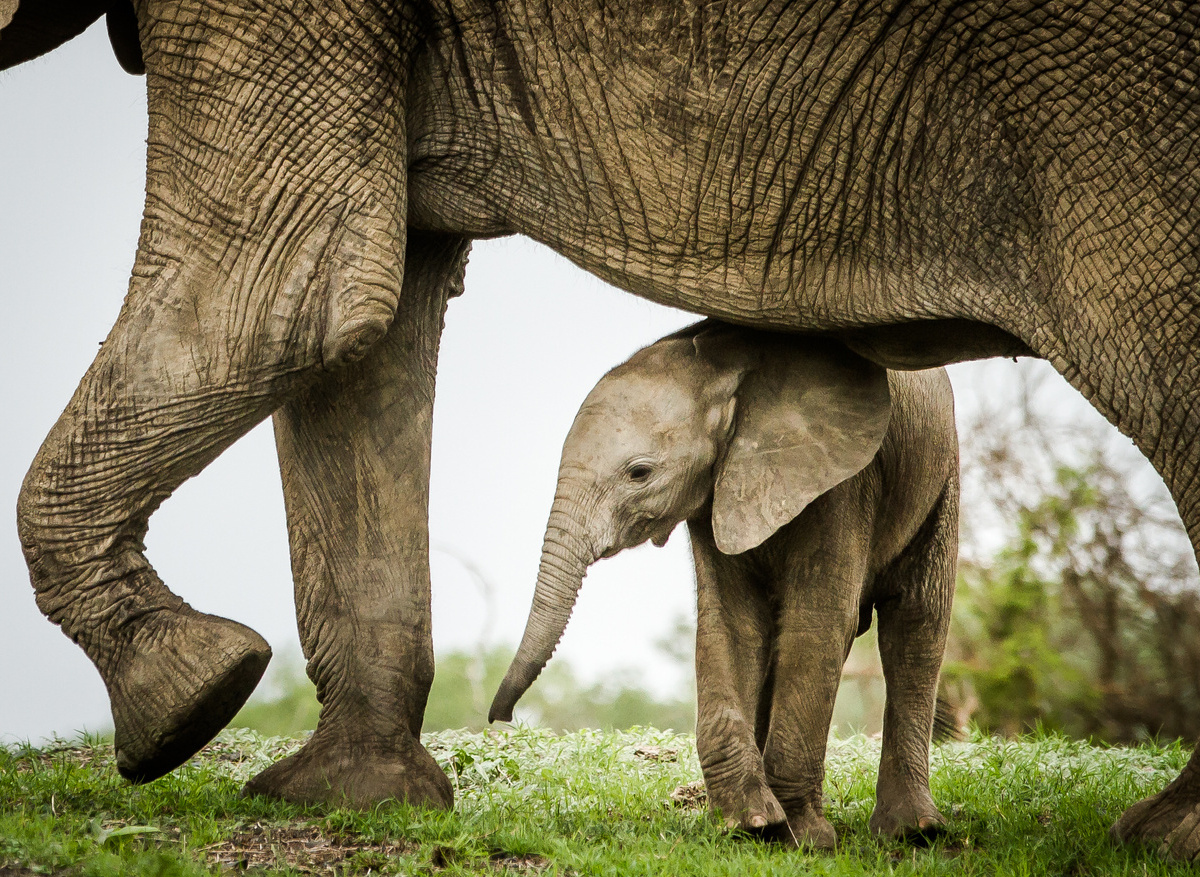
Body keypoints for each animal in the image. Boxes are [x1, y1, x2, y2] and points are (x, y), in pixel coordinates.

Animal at [489, 322, 958, 848]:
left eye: (639, 473)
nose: (500, 718)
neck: (724, 370)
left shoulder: (845, 481)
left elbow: (817, 623)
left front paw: (802, 838)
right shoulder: (714, 487)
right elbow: (731, 622)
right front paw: (750, 823)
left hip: (940, 473)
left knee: (916, 624)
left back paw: (912, 832)